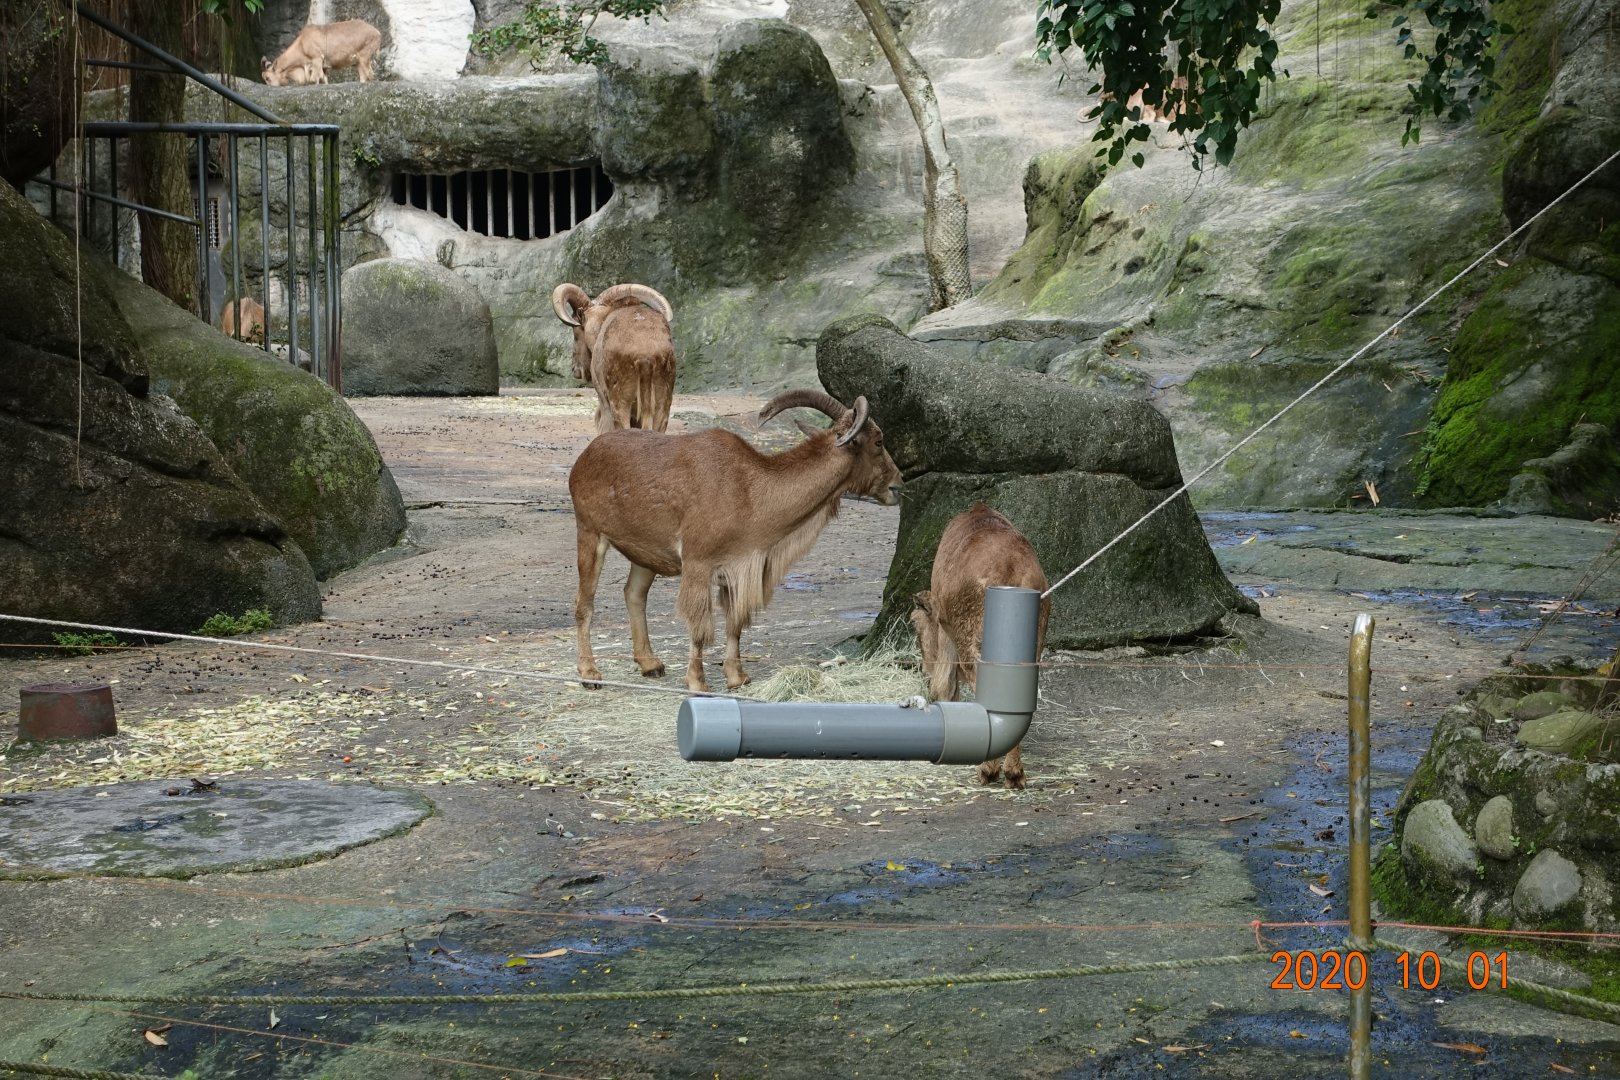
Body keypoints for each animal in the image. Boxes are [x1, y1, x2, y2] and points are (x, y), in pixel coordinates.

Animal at [552, 283, 677, 434]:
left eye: (576, 333)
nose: (574, 369)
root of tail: (645, 358)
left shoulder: (604, 400)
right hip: (662, 404)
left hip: (620, 403)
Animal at [568, 389, 902, 692]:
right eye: (879, 441)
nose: (898, 484)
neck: (750, 491)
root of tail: (585, 457)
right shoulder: (699, 564)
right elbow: (700, 626)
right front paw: (698, 683)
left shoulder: (738, 567)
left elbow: (735, 623)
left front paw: (737, 677)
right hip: (589, 532)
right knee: (585, 603)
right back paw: (590, 673)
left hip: (647, 551)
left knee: (634, 594)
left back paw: (650, 664)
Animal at [910, 502, 1050, 789]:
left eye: (916, 624)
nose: (924, 671)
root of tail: (1010, 567)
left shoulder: (948, 632)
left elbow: (946, 684)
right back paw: (1014, 773)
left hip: (971, 645)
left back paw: (989, 769)